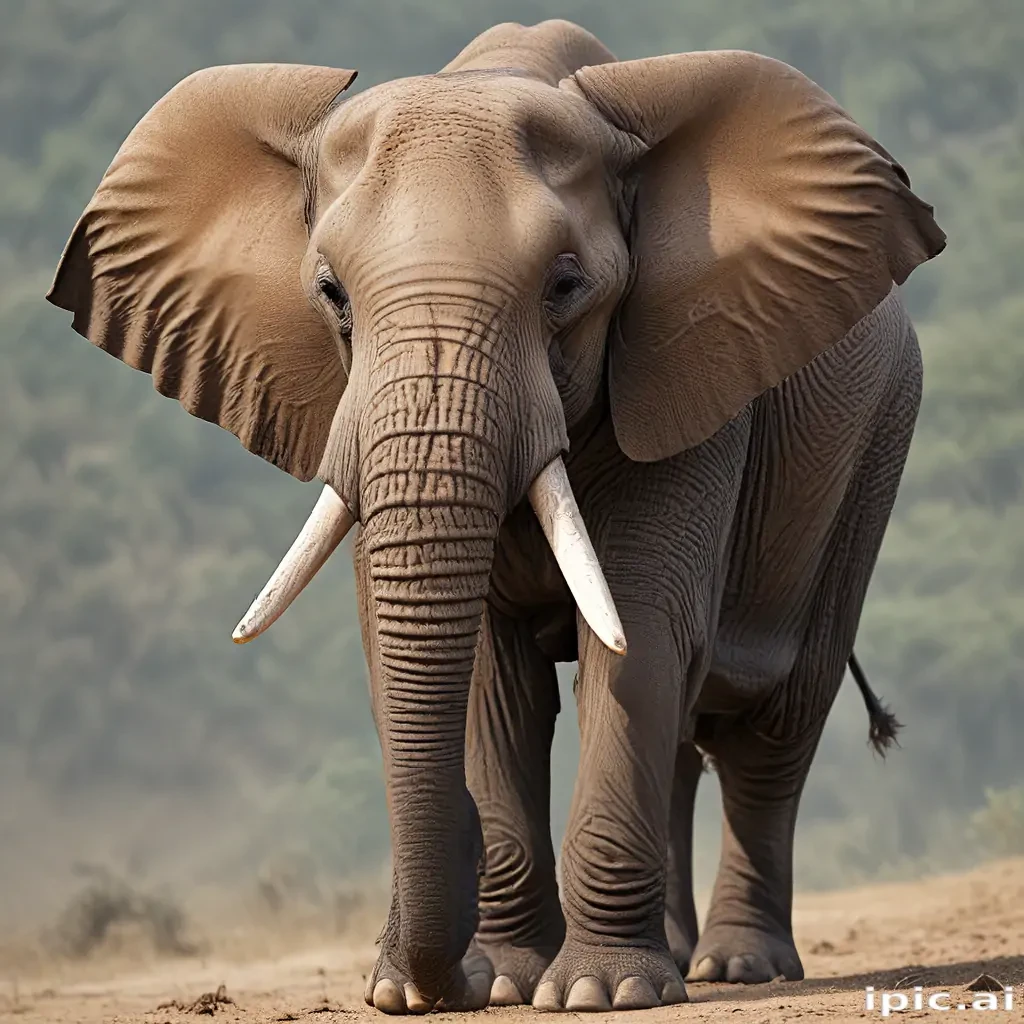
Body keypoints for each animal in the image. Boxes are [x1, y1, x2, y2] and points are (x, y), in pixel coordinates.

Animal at [46, 18, 944, 1015]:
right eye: (331, 294)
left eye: (565, 286)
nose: (418, 983)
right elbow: (491, 669)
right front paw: (507, 981)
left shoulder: (689, 372)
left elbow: (637, 631)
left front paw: (596, 993)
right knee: (684, 733)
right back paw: (674, 958)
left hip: (874, 449)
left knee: (772, 728)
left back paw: (734, 968)